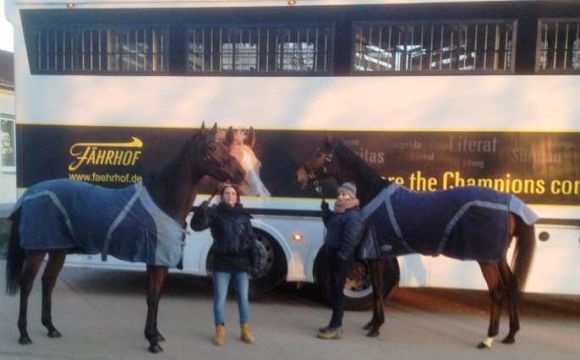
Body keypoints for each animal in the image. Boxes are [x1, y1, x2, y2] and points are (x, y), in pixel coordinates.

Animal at [5, 125, 245, 352]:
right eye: (212, 147)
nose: (241, 172)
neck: (163, 199)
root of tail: (30, 194)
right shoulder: (155, 261)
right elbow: (152, 297)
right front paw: (153, 342)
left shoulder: (159, 261)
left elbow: (156, 296)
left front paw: (155, 334)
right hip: (37, 250)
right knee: (26, 284)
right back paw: (24, 334)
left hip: (58, 250)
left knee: (48, 282)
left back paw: (51, 328)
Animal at [300, 136, 540, 348]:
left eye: (319, 154)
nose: (300, 175)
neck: (373, 194)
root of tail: (512, 204)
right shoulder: (381, 254)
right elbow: (377, 289)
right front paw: (372, 323)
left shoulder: (376, 253)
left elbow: (377, 287)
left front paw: (376, 327)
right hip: (497, 256)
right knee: (511, 285)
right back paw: (510, 335)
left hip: (486, 258)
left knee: (497, 292)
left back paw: (488, 339)